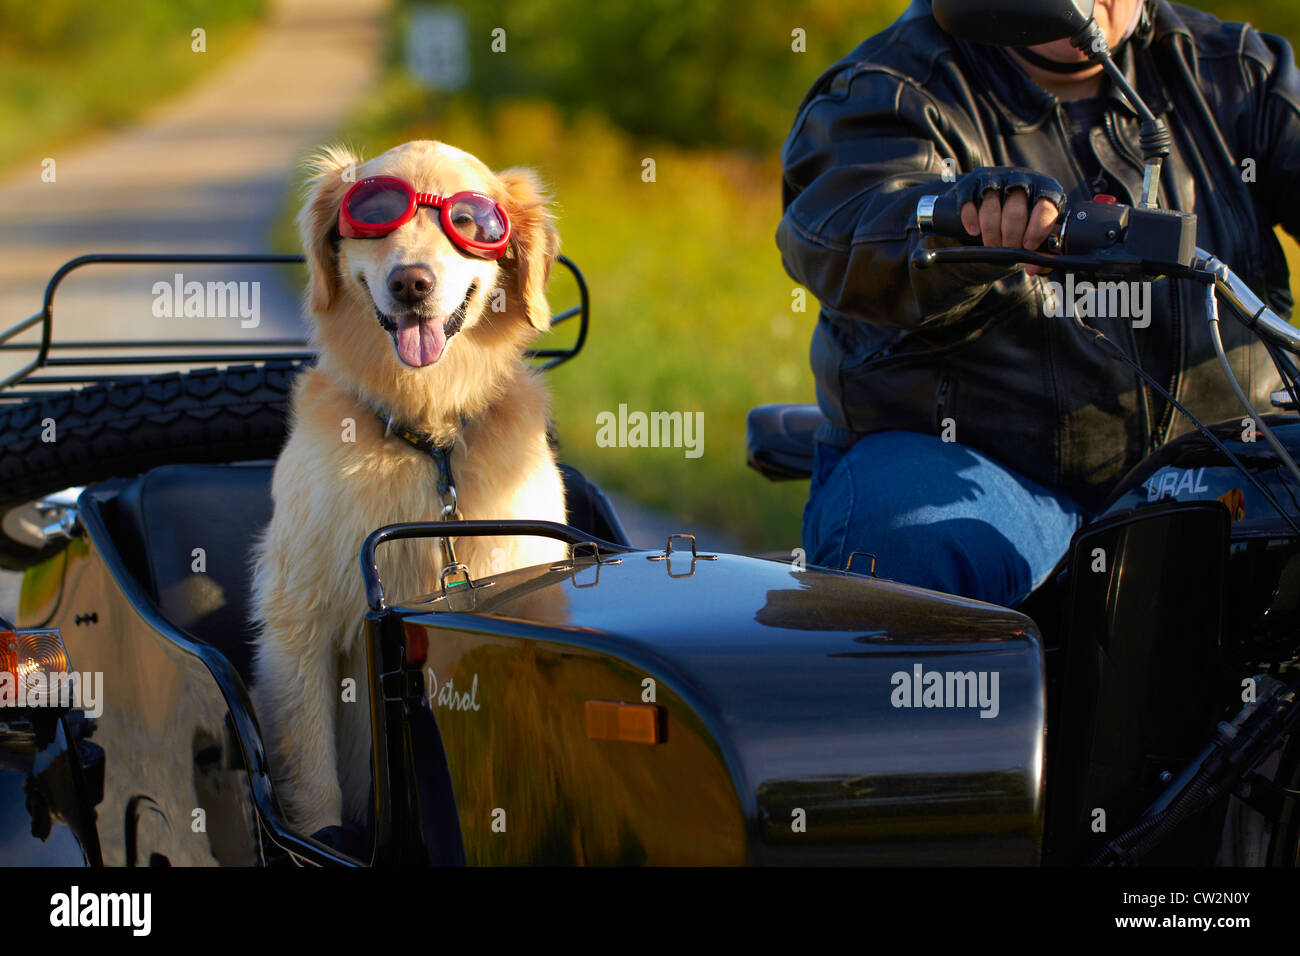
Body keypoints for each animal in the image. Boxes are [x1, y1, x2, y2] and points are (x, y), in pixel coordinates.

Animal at [248, 141, 564, 837]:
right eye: (373, 214)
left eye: (470, 221)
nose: (410, 283)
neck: (428, 437)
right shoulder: (299, 622)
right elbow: (313, 779)